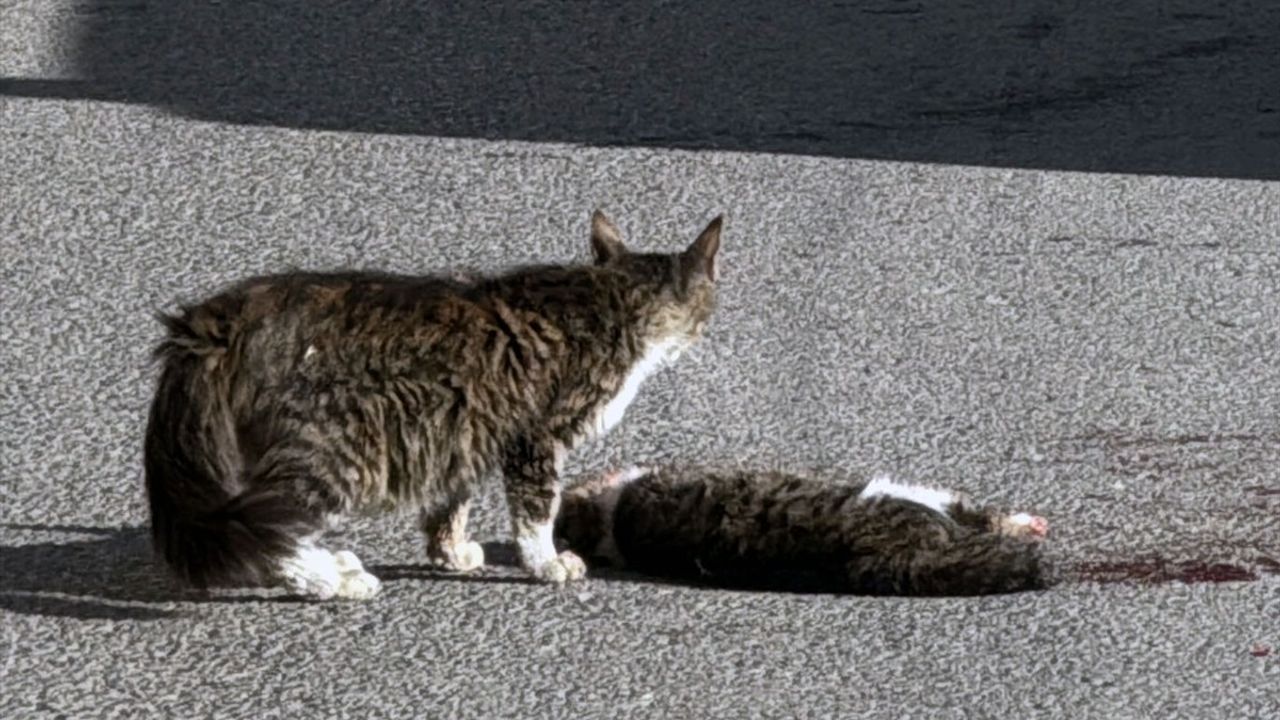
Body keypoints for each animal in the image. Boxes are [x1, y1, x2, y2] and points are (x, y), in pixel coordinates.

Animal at [145, 210, 727, 597]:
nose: (706, 329)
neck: (613, 301)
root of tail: (214, 323)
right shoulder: (536, 437)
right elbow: (537, 512)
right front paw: (545, 564)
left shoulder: (464, 429)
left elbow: (451, 504)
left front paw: (450, 552)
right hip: (337, 451)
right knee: (272, 533)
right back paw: (333, 579)